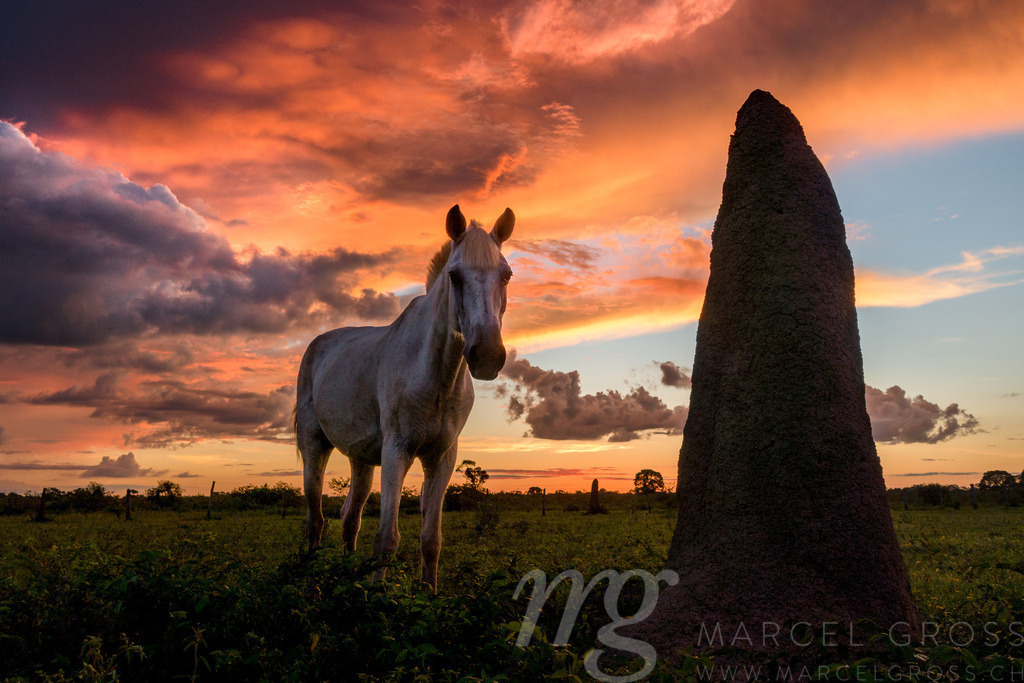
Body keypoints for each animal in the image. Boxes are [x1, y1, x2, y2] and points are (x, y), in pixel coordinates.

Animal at [294, 204, 514, 590]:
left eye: (506, 275)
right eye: (454, 276)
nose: (487, 355)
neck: (434, 375)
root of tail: (318, 344)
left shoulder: (441, 457)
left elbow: (431, 539)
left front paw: (429, 594)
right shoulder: (397, 450)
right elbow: (387, 539)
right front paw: (376, 595)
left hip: (362, 460)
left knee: (349, 518)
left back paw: (346, 577)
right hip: (314, 448)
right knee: (315, 519)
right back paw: (313, 576)